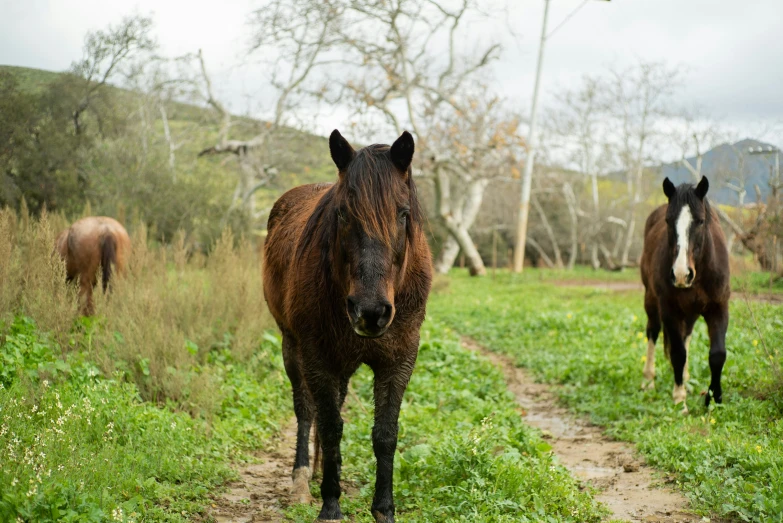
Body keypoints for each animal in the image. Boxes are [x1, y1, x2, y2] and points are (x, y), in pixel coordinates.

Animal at [264, 129, 434, 520]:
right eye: (342, 214)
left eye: (403, 213)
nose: (369, 311)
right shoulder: (317, 357)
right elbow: (329, 426)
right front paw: (330, 504)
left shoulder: (399, 360)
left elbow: (385, 433)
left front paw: (384, 508)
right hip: (293, 348)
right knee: (306, 409)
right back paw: (302, 479)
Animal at [640, 178, 732, 416]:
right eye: (668, 220)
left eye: (700, 221)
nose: (682, 274)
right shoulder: (670, 310)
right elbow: (678, 353)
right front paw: (679, 400)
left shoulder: (719, 308)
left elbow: (717, 354)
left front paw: (714, 399)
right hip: (651, 300)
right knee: (653, 332)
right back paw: (648, 380)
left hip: (690, 312)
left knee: (687, 334)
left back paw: (687, 379)